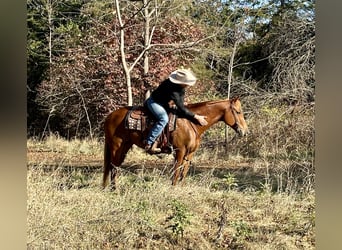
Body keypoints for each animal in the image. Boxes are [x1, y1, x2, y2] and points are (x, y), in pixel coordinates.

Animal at [102, 96, 248, 189]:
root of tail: (109, 116)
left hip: (124, 146)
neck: (191, 123)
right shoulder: (179, 151)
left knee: (115, 166)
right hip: (116, 147)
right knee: (113, 167)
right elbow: (176, 172)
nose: (245, 131)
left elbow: (184, 172)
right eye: (238, 112)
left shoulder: (189, 154)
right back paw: (114, 190)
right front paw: (173, 189)